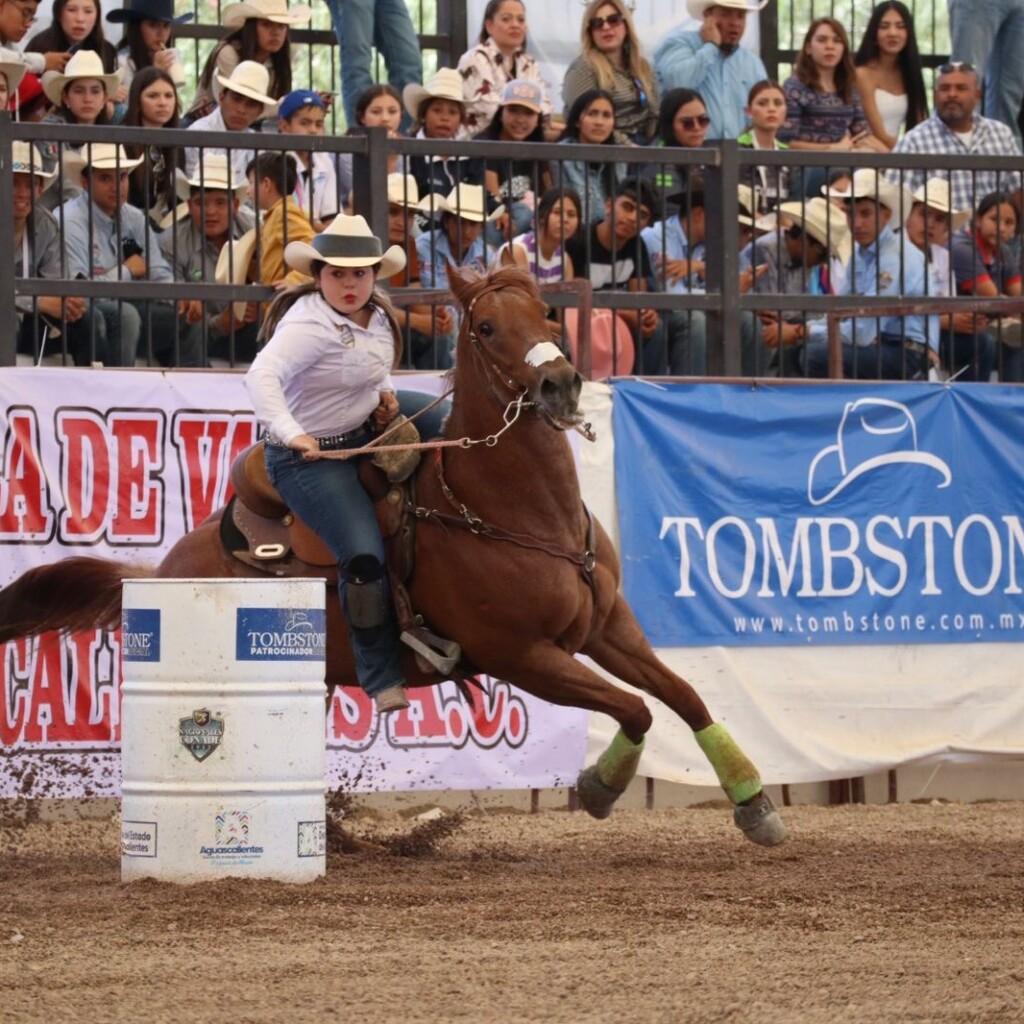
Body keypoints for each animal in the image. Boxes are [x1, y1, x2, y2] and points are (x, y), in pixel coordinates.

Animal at [0, 266, 786, 847]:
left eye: (549, 315)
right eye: (487, 327)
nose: (560, 384)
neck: (524, 514)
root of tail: (164, 567)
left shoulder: (607, 627)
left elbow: (682, 696)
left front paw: (754, 804)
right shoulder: (523, 656)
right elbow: (635, 708)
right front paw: (598, 788)